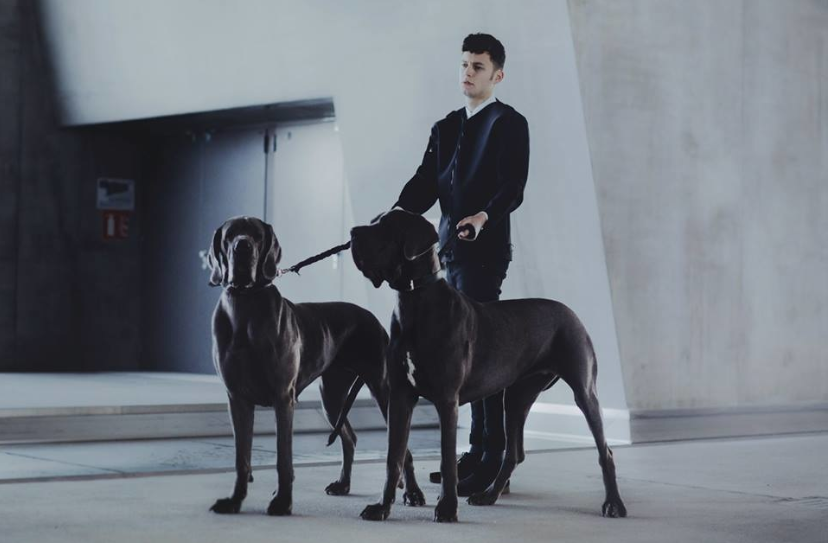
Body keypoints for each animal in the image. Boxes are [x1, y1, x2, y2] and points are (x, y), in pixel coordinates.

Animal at [206, 216, 424, 516]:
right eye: (230, 235)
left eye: (257, 235)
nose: (243, 247)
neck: (245, 307)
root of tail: (371, 318)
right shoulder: (236, 399)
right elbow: (242, 457)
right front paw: (234, 500)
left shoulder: (283, 397)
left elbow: (283, 457)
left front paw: (282, 501)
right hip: (331, 396)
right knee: (349, 437)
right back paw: (343, 484)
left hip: (384, 390)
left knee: (403, 448)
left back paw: (413, 492)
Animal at [348, 209, 626, 522]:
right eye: (374, 221)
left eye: (388, 226)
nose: (353, 233)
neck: (414, 299)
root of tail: (570, 311)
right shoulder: (399, 397)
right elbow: (394, 456)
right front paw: (382, 507)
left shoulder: (447, 399)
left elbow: (447, 460)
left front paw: (447, 508)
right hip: (516, 397)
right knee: (514, 453)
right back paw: (489, 494)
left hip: (583, 390)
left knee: (605, 452)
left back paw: (614, 504)